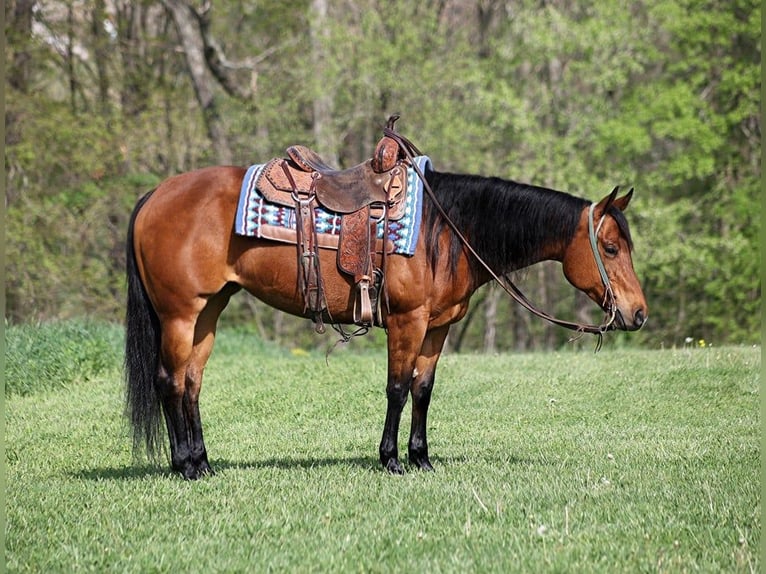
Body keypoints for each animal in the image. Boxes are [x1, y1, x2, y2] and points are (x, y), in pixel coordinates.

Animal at [124, 159, 648, 482]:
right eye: (610, 247)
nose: (638, 313)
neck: (446, 229)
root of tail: (155, 195)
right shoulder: (407, 322)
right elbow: (397, 388)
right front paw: (391, 459)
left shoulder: (438, 326)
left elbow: (423, 389)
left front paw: (421, 458)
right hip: (179, 313)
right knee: (169, 381)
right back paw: (184, 465)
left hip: (209, 310)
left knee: (192, 382)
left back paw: (203, 463)